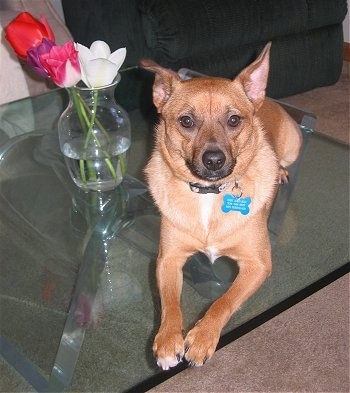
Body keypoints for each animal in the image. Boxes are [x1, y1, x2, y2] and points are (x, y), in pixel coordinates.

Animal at [141, 43, 302, 370]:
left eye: (234, 120)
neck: (209, 195)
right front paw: (168, 339)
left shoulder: (257, 265)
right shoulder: (168, 259)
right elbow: (170, 304)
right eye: (186, 121)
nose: (214, 160)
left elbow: (223, 301)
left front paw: (203, 337)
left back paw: (280, 171)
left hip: (294, 145)